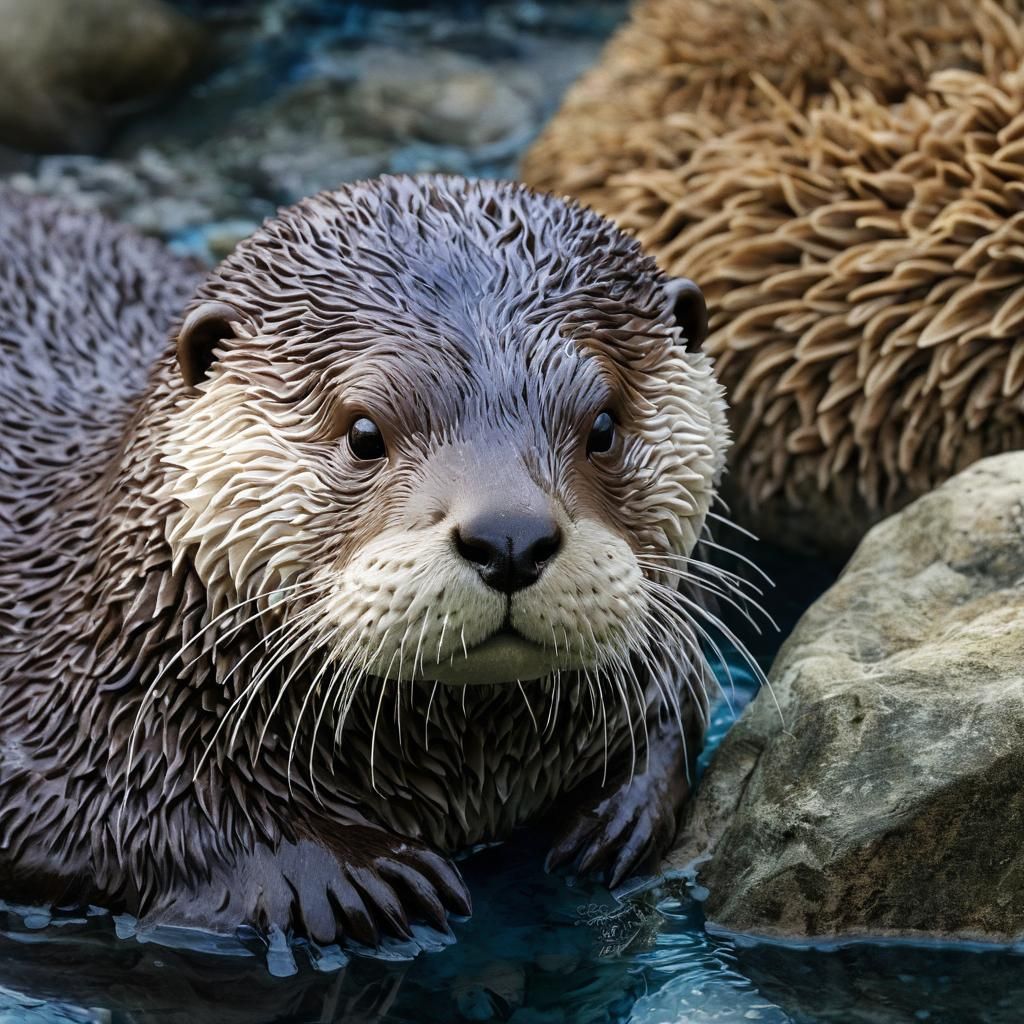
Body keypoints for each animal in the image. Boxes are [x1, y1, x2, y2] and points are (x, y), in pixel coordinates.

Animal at [0, 176, 730, 950]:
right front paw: (348, 872)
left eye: (603, 426)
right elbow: (105, 814)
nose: (509, 535)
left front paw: (618, 811)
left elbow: (679, 706)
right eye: (364, 434)